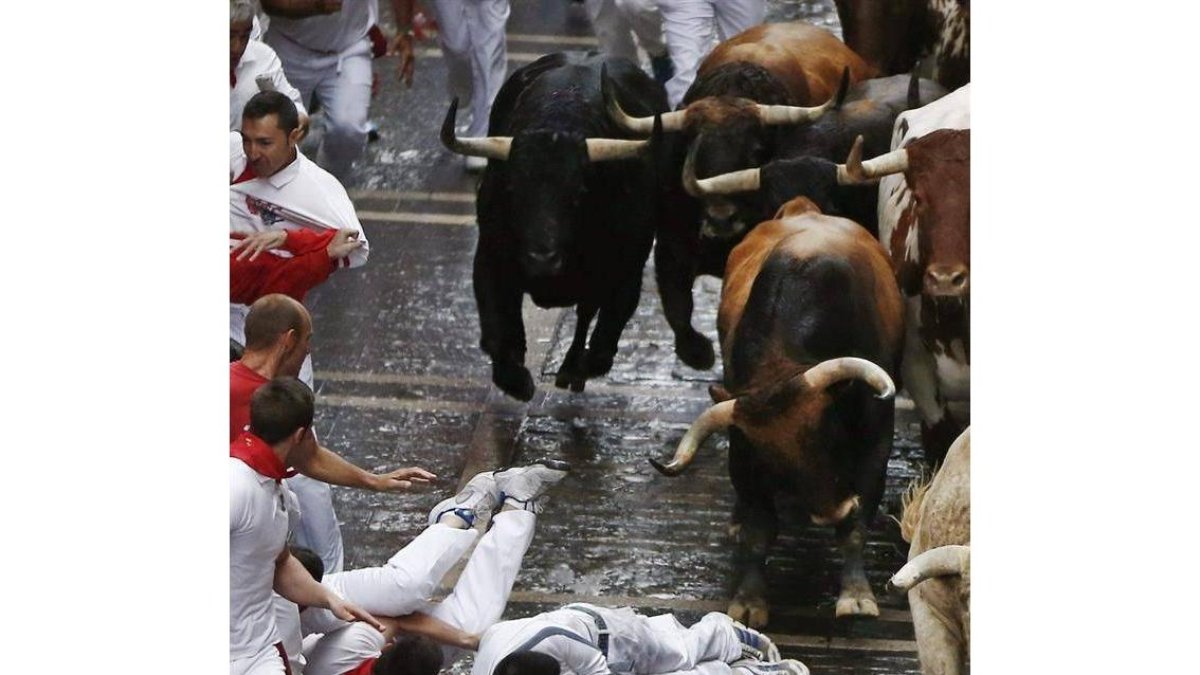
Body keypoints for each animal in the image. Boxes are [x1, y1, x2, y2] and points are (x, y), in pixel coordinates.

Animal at [444, 55, 672, 398]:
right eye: (513, 189)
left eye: (578, 192)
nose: (542, 260)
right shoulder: (489, 260)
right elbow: (498, 331)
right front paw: (517, 378)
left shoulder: (627, 274)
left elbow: (602, 343)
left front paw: (576, 368)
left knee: (586, 318)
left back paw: (570, 369)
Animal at [604, 23, 878, 369]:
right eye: (693, 149)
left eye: (755, 151)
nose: (722, 218)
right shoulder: (671, 249)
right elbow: (678, 313)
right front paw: (699, 351)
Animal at [652, 194, 902, 624]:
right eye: (771, 459)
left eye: (828, 431)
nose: (830, 512)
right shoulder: (743, 450)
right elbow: (758, 532)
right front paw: (749, 599)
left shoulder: (876, 438)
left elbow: (856, 525)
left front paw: (856, 595)